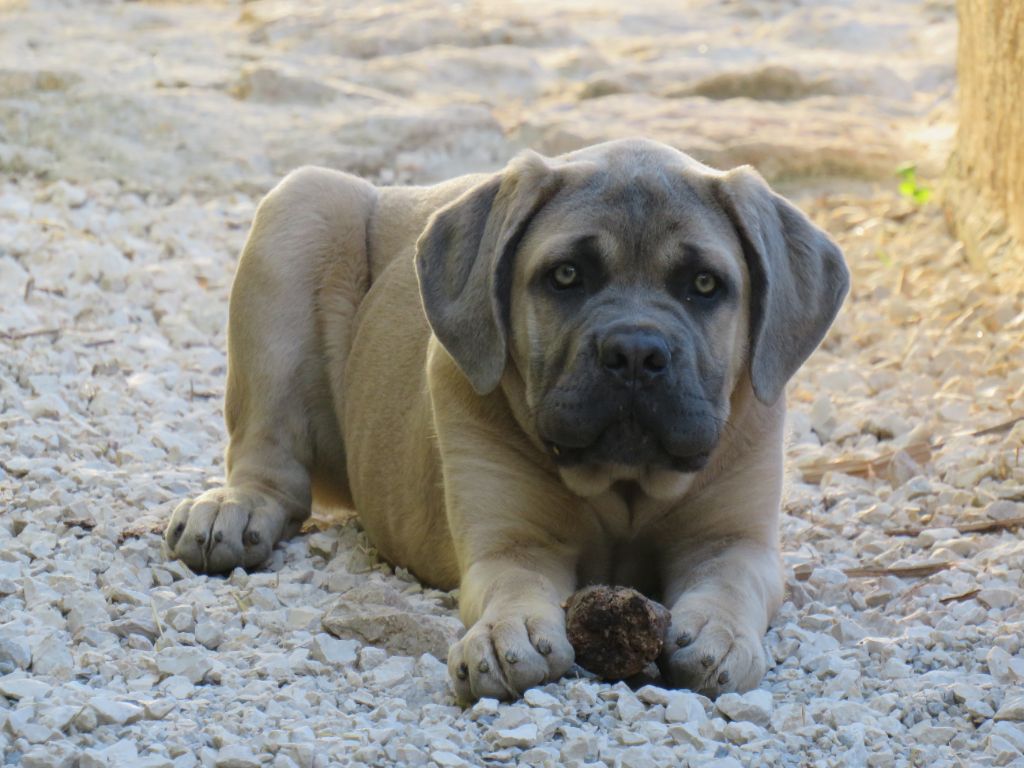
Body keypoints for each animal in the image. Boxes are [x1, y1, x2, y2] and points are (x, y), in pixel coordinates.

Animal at [161, 138, 847, 704]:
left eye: (704, 285)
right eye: (566, 276)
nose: (634, 353)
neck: (623, 483)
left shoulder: (734, 540)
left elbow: (731, 586)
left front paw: (720, 635)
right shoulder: (512, 542)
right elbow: (513, 587)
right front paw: (506, 634)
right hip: (301, 206)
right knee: (269, 459)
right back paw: (235, 508)